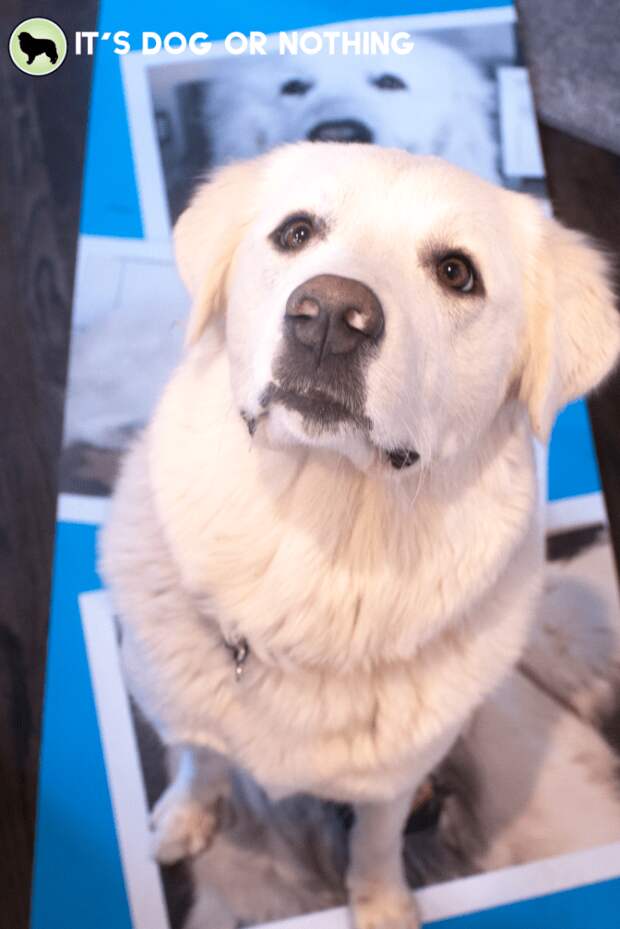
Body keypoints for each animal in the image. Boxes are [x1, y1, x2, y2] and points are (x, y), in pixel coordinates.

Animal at [99, 147, 616, 928]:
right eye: (296, 232)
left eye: (457, 272)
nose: (329, 317)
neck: (319, 537)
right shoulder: (184, 710)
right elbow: (201, 758)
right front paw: (186, 816)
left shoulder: (395, 777)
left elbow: (375, 840)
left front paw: (378, 904)